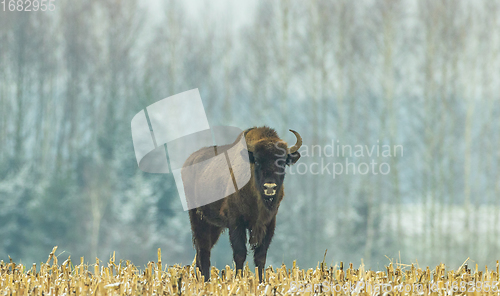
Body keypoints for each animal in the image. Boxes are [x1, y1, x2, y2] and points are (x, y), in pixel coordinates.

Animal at [183, 125, 302, 282]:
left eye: (282, 162)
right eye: (257, 161)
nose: (269, 187)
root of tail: (189, 161)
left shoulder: (269, 223)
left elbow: (260, 256)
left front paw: (260, 282)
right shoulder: (236, 222)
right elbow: (240, 254)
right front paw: (238, 280)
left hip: (214, 226)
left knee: (201, 252)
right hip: (197, 218)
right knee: (203, 252)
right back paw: (206, 281)